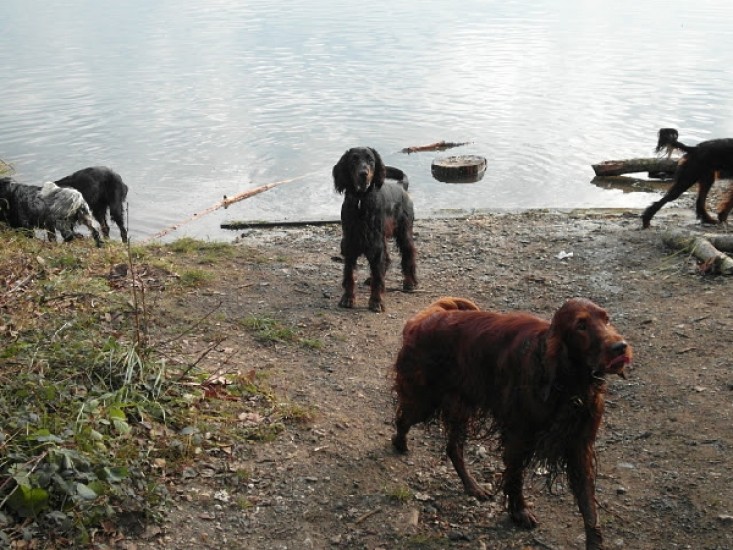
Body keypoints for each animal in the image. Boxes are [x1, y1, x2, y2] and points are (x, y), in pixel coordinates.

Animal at [332, 147, 417, 312]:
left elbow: (378, 276)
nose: (363, 173)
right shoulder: (350, 242)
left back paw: (410, 282)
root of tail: (400, 186)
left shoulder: (375, 243)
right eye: (354, 159)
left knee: (409, 253)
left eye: (371, 160)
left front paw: (376, 301)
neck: (361, 201)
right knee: (388, 259)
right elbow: (349, 274)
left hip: (403, 232)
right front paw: (348, 298)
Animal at [391, 297, 632, 550]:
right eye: (581, 325)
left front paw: (594, 541)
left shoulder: (579, 446)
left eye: (606, 319)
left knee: (453, 448)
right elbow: (515, 478)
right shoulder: (519, 436)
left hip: (459, 406)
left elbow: (588, 504)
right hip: (424, 400)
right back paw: (399, 443)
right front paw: (519, 513)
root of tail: (428, 317)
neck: (567, 382)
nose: (620, 347)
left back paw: (473, 487)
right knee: (403, 419)